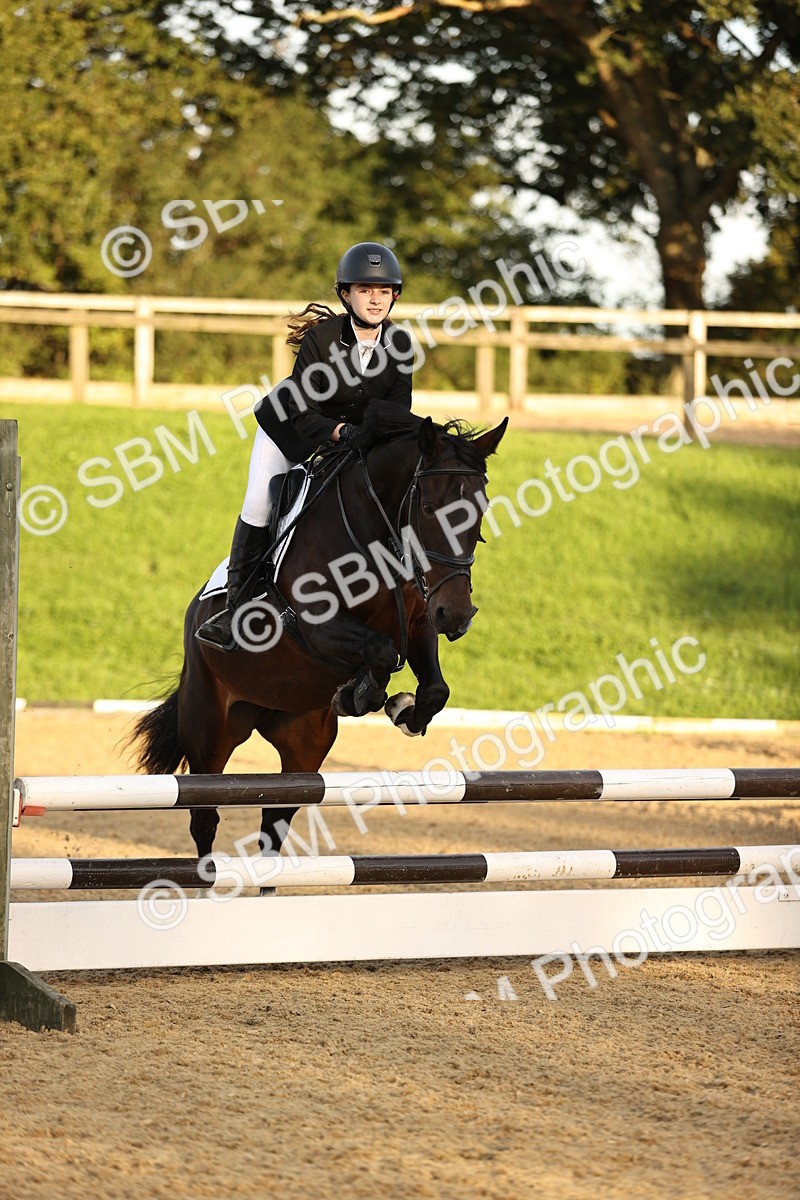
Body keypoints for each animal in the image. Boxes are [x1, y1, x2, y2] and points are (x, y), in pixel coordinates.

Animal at [129, 408, 507, 862]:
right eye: (430, 507)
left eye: (481, 509)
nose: (458, 615)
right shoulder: (315, 626)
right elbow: (380, 651)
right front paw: (361, 694)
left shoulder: (419, 620)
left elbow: (434, 688)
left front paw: (400, 710)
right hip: (209, 731)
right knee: (205, 818)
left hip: (304, 745)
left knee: (274, 821)